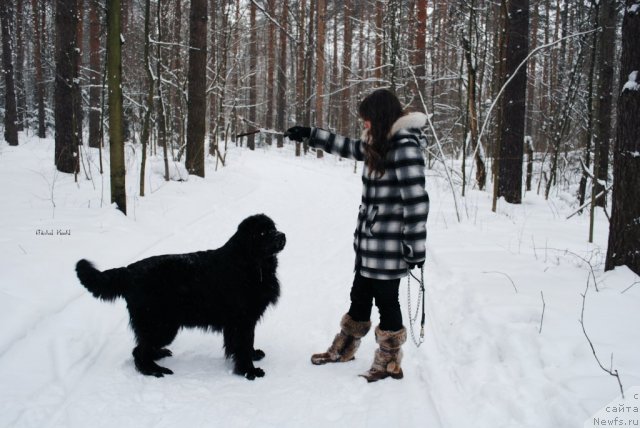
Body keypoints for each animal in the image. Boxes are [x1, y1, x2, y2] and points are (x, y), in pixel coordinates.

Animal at [74, 216, 284, 380]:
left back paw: (158, 355)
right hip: (161, 324)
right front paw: (249, 371)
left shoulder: (243, 322)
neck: (250, 263)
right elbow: (242, 346)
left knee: (142, 347)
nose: (282, 235)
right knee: (139, 351)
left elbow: (245, 344)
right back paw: (154, 370)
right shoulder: (241, 320)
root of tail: (129, 270)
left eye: (273, 227)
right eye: (262, 233)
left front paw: (253, 355)